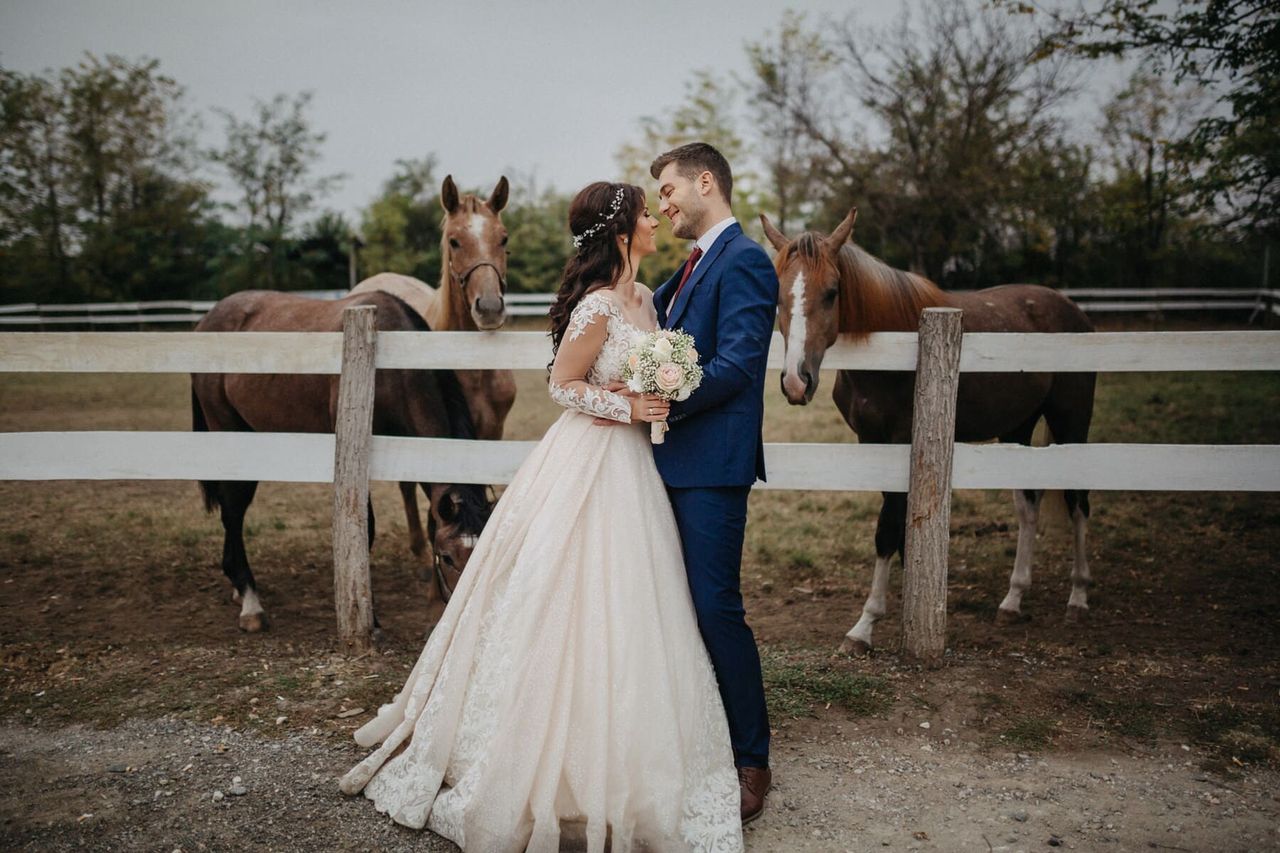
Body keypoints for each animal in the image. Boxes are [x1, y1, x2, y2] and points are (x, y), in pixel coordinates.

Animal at [192, 289, 491, 627]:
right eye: (447, 557)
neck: (391, 370)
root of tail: (210, 317)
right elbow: (365, 530)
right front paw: (369, 618)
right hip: (227, 430)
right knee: (233, 509)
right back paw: (250, 602)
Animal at [757, 207, 1100, 650]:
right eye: (778, 296)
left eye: (832, 292)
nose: (796, 381)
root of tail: (1073, 310)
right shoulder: (871, 442)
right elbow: (901, 536)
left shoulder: (901, 443)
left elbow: (888, 529)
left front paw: (866, 625)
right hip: (1018, 428)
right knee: (1029, 504)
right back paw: (1013, 599)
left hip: (1071, 422)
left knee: (1078, 502)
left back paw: (1078, 596)